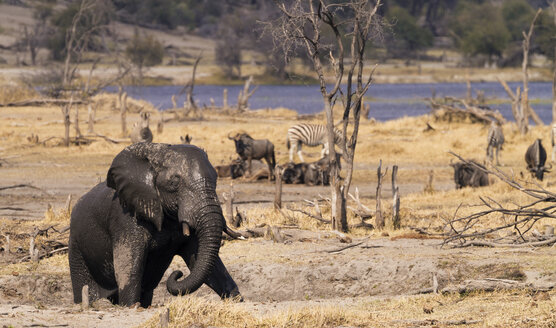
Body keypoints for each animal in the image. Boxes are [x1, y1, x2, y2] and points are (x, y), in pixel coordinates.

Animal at [69, 143, 241, 308]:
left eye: (216, 180)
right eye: (174, 183)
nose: (178, 274)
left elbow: (206, 263)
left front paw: (236, 300)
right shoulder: (125, 218)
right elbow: (129, 268)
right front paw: (130, 306)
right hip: (76, 246)